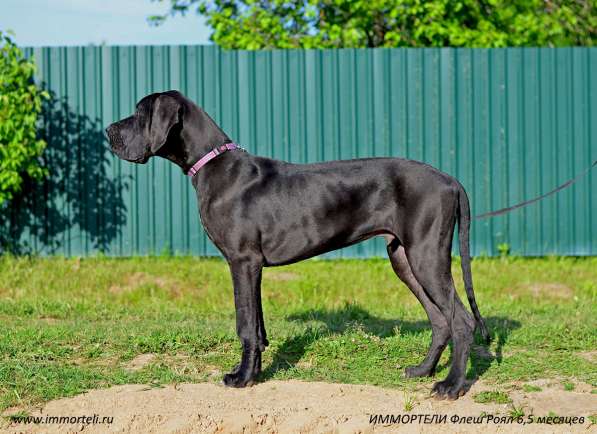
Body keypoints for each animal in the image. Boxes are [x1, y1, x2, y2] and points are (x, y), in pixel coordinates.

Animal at [106, 90, 488, 398]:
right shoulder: (253, 267)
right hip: (404, 258)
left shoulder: (242, 261)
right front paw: (256, 373)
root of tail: (450, 180)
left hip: (426, 255)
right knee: (440, 320)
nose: (108, 131)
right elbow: (258, 324)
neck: (212, 163)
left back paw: (452, 386)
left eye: (140, 113)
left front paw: (241, 378)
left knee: (461, 321)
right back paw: (423, 371)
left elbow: (245, 324)